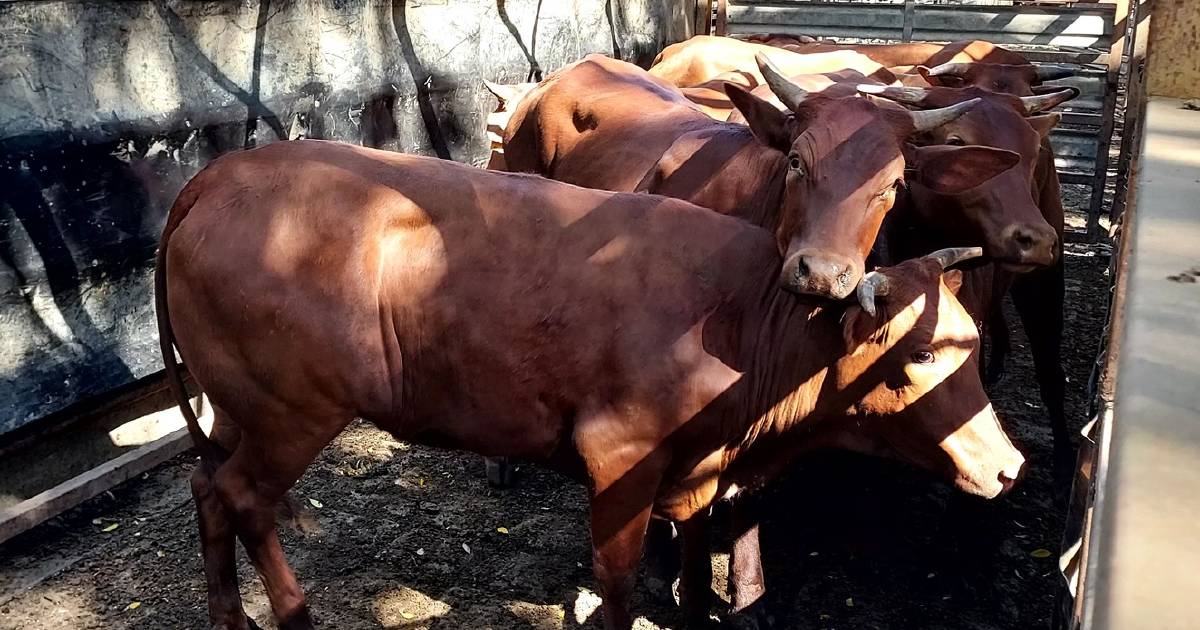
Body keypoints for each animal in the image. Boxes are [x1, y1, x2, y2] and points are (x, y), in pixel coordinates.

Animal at [157, 141, 1022, 628]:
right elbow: (617, 580)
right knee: (244, 498)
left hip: (236, 406)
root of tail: (225, 170)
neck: (743, 320)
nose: (1011, 466)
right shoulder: (621, 455)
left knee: (206, 488)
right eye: (919, 356)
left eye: (972, 341)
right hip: (291, 411)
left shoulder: (695, 468)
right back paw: (294, 615)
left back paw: (229, 616)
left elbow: (695, 557)